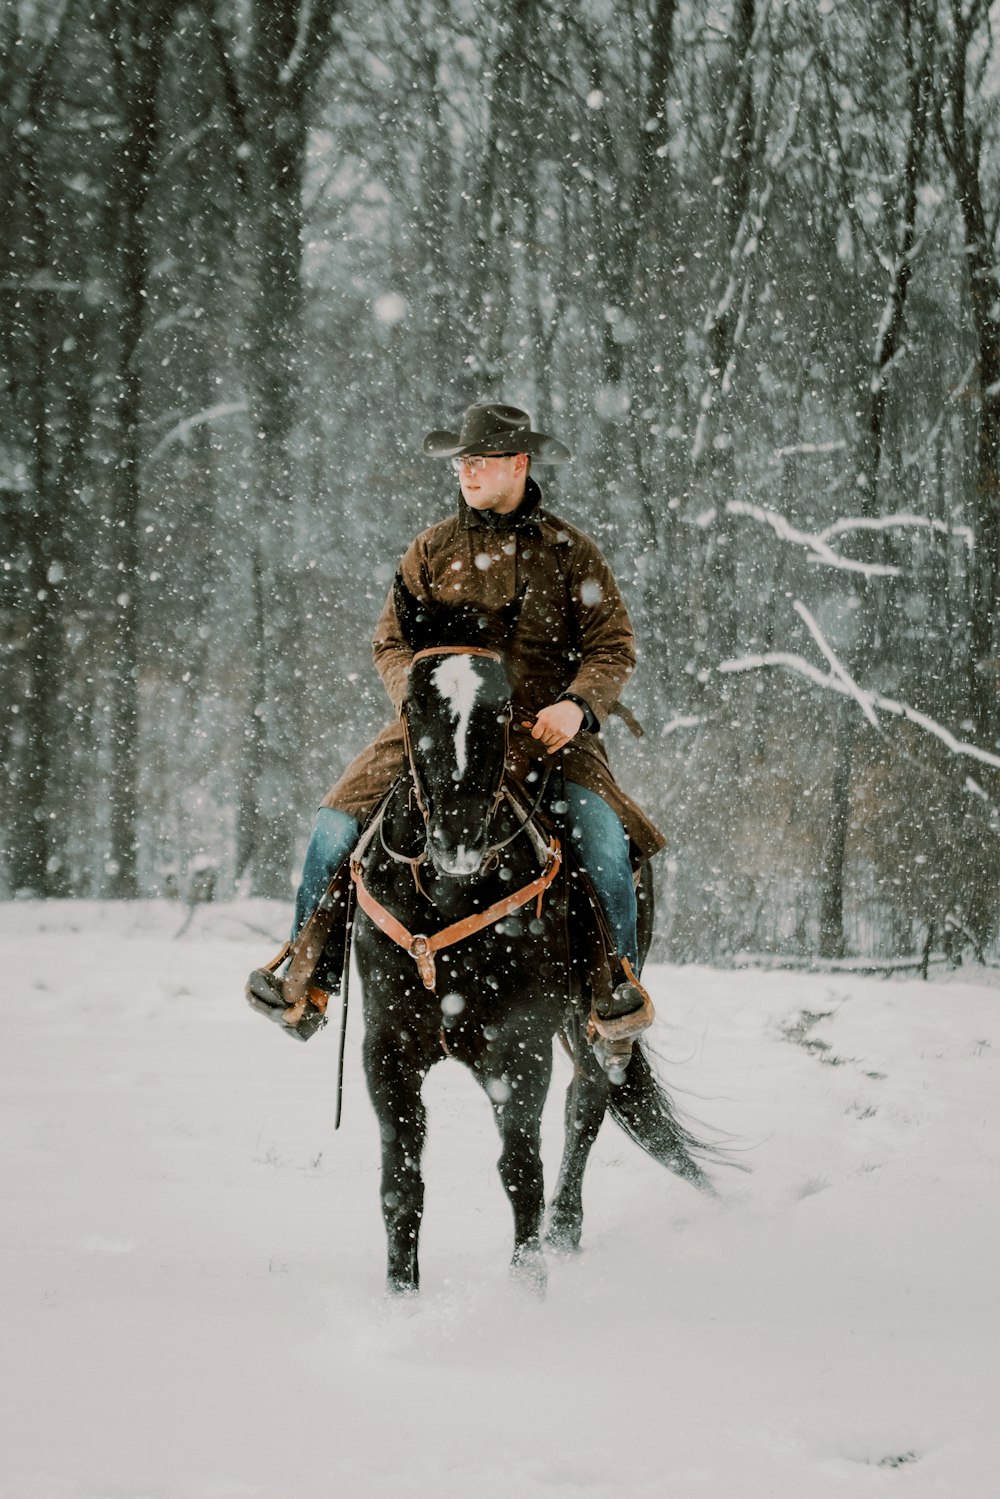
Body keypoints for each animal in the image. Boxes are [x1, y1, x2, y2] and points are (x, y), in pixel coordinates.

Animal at [352, 590, 719, 1295]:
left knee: (585, 1105)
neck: (447, 897)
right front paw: (401, 1296)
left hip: (592, 1017)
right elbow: (399, 1180)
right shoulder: (387, 1045)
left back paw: (565, 1232)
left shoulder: (519, 1046)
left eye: (502, 708)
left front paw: (529, 1286)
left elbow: (521, 1167)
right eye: (414, 705)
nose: (459, 836)